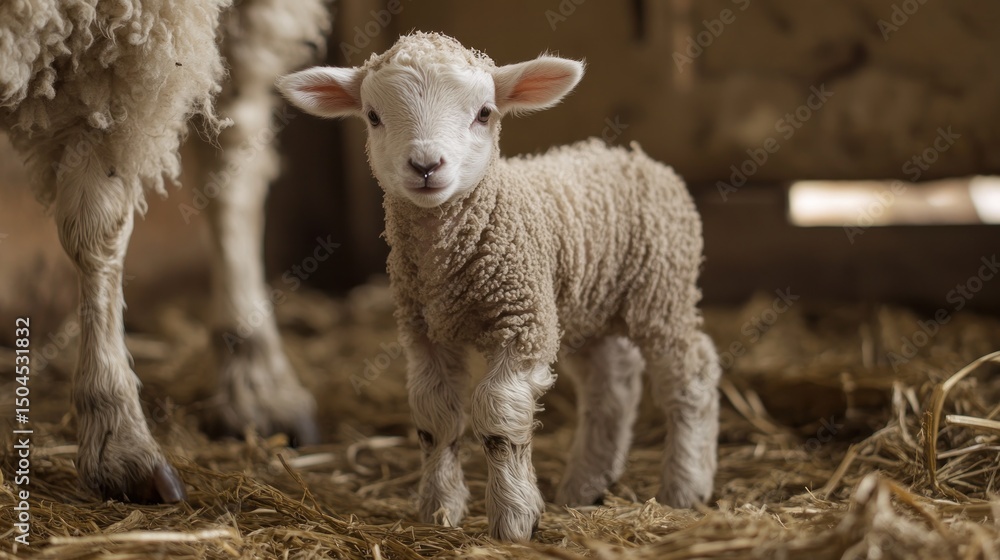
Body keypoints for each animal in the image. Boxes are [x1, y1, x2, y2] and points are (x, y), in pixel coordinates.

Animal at [279, 31, 721, 541]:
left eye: (484, 113)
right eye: (372, 116)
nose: (426, 165)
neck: (450, 267)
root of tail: (636, 156)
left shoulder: (522, 323)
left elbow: (497, 417)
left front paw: (514, 518)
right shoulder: (425, 331)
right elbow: (435, 417)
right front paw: (439, 510)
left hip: (661, 291)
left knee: (691, 373)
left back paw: (684, 487)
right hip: (584, 307)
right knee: (612, 386)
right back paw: (584, 487)